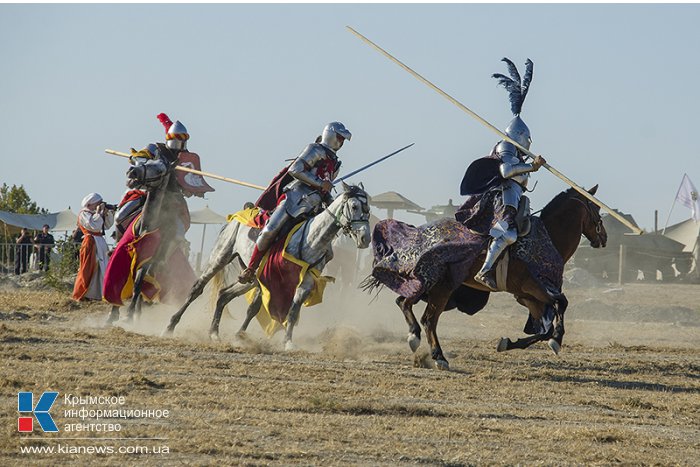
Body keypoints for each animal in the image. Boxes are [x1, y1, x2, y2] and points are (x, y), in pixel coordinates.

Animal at [165, 183, 372, 352]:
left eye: (368, 209)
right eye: (354, 206)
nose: (365, 239)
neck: (311, 238)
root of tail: (236, 217)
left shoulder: (304, 282)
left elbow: (292, 310)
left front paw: (287, 342)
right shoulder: (274, 280)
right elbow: (262, 307)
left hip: (249, 279)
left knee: (224, 294)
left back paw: (214, 333)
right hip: (220, 258)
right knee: (197, 288)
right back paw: (170, 326)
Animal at [372, 185, 608, 372]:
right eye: (596, 209)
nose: (604, 238)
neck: (549, 237)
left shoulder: (527, 297)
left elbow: (544, 328)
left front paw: (508, 343)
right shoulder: (535, 288)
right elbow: (562, 303)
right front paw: (557, 340)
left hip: (433, 286)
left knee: (404, 302)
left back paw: (415, 336)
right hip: (441, 287)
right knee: (428, 319)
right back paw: (438, 356)